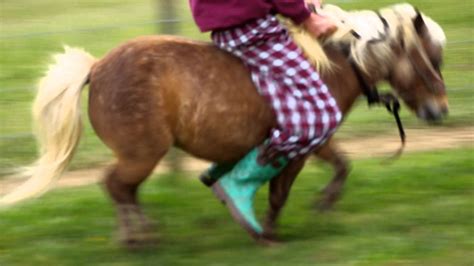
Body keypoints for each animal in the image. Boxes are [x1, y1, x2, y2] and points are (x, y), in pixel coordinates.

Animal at [0, 3, 448, 245]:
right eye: (432, 58)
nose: (439, 110)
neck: (332, 64)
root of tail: (96, 68)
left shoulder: (315, 141)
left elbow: (336, 167)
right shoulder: (307, 138)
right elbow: (285, 189)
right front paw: (269, 230)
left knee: (123, 188)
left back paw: (143, 233)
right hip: (142, 153)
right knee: (116, 185)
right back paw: (140, 238)